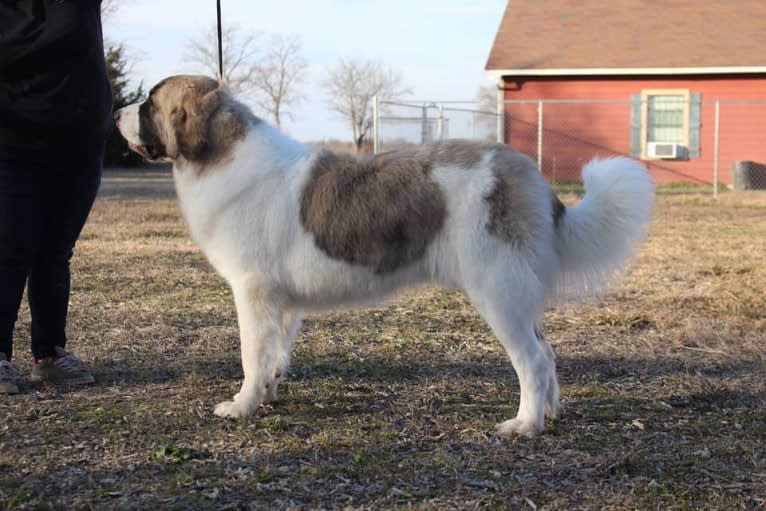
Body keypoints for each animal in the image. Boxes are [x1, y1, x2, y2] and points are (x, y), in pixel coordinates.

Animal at [114, 75, 656, 436]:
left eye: (149, 102)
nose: (115, 110)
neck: (221, 156)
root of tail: (526, 174)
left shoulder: (254, 293)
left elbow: (251, 353)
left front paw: (242, 405)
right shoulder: (280, 303)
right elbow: (273, 355)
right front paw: (266, 396)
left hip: (498, 292)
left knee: (533, 360)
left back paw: (525, 424)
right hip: (519, 295)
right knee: (549, 352)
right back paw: (551, 412)